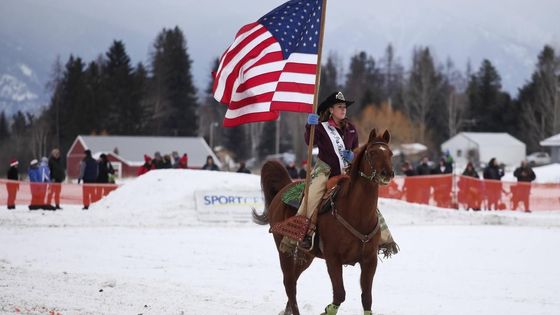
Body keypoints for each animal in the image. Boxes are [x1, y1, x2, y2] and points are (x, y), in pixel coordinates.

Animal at [254, 129, 394, 315]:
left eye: (390, 153)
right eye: (372, 153)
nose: (387, 174)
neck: (356, 213)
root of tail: (284, 188)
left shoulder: (370, 260)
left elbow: (367, 298)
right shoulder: (333, 258)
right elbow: (339, 293)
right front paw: (327, 310)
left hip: (306, 255)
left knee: (294, 278)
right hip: (284, 249)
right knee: (289, 283)